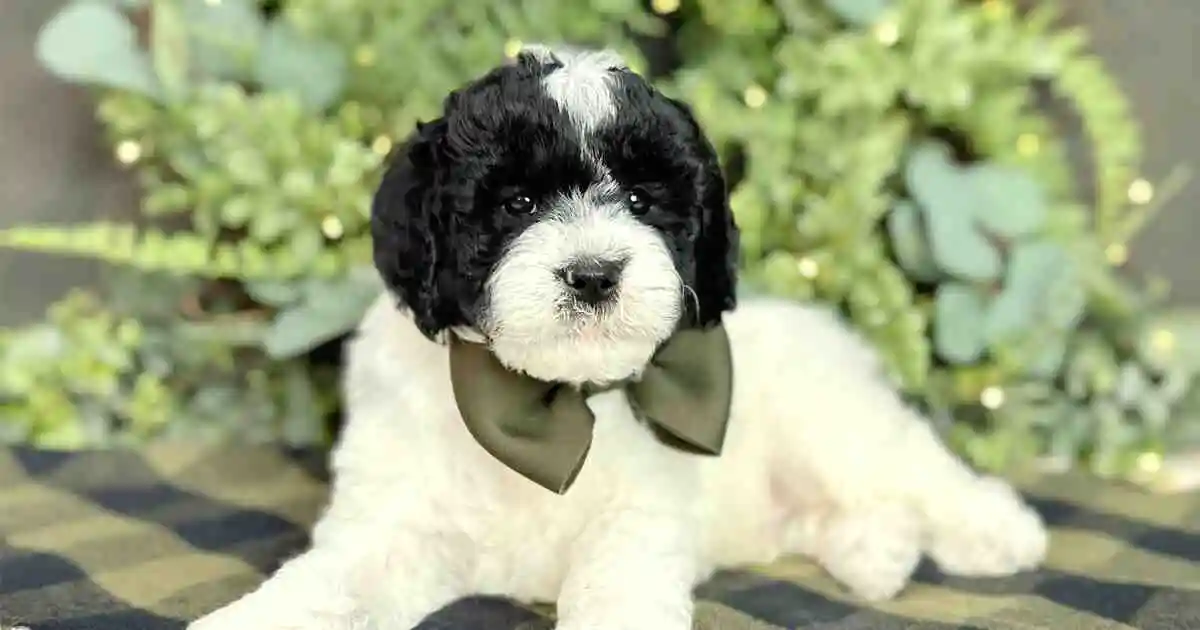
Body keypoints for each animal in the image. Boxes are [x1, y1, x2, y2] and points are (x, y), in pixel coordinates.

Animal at [192, 45, 1046, 628]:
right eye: (517, 204)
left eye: (641, 200)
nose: (595, 274)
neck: (547, 401)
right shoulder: (395, 516)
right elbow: (330, 578)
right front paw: (255, 617)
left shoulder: (636, 520)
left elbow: (618, 591)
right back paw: (880, 554)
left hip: (830, 422)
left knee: (914, 467)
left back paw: (998, 532)